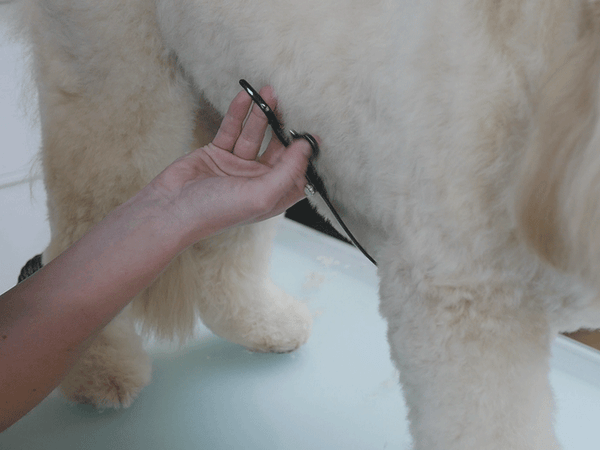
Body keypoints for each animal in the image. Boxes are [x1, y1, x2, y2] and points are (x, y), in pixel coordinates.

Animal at [17, 0, 600, 448]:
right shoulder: (465, 310)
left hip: (240, 120)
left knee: (222, 250)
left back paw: (261, 322)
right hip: (116, 90)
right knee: (78, 239)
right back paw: (98, 371)